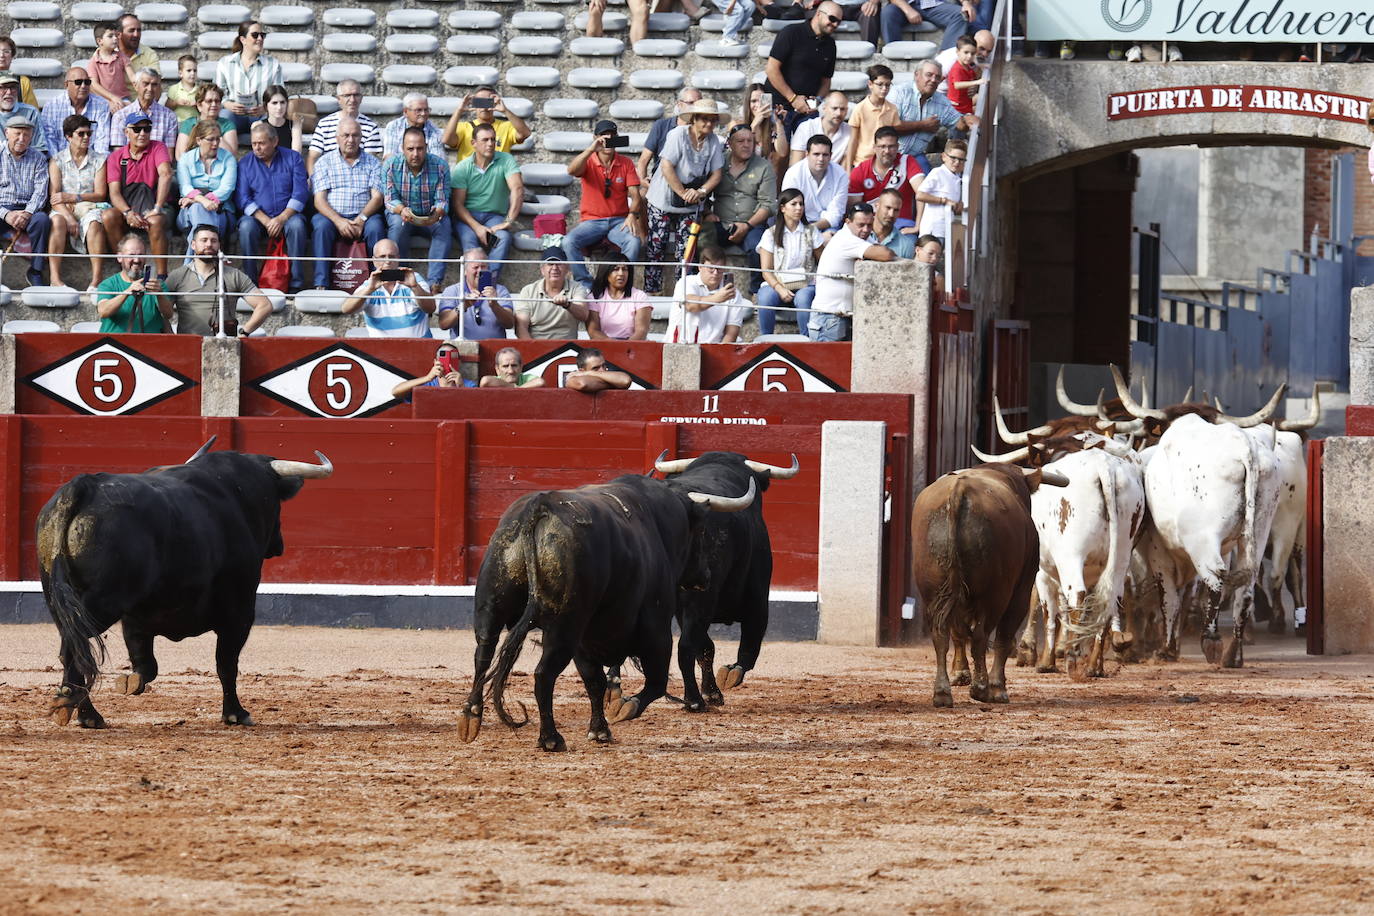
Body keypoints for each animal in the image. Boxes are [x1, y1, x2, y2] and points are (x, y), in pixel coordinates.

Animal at [36, 444, 331, 730]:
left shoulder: (136, 618)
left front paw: (131, 682)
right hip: (102, 603)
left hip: (59, 601)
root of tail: (84, 486)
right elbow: (226, 663)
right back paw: (79, 710)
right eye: (277, 503)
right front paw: (236, 714)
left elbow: (146, 662)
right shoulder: (240, 611)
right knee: (76, 651)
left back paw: (83, 712)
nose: (279, 544)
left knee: (75, 650)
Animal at [456, 472, 758, 752]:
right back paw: (551, 738)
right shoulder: (655, 629)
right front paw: (625, 707)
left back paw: (471, 718)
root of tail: (539, 508)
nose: (705, 576)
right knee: (543, 674)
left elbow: (595, 682)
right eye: (700, 532)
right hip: (563, 627)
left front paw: (599, 730)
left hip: (491, 608)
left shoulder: (585, 639)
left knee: (482, 656)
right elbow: (656, 681)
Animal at [917, 466, 1066, 708]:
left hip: (933, 592)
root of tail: (958, 491)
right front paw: (997, 687)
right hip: (997, 595)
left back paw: (942, 692)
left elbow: (959, 633)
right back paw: (982, 688)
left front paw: (961, 675)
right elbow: (1003, 638)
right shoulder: (1020, 592)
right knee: (982, 636)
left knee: (941, 635)